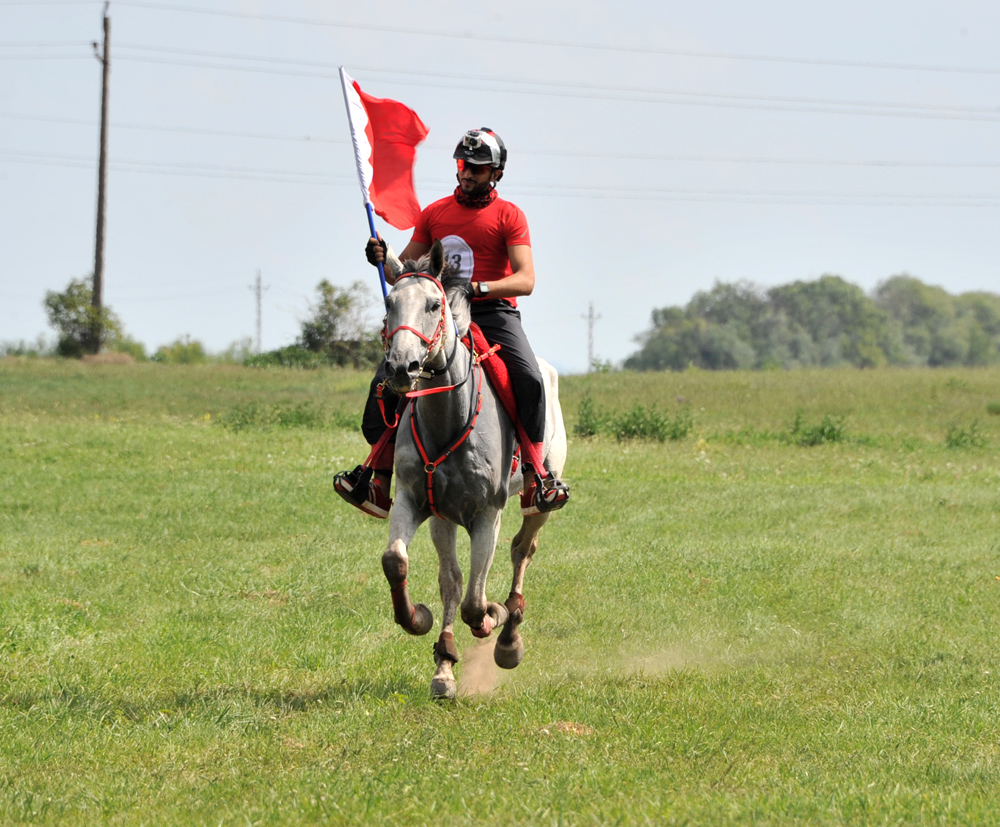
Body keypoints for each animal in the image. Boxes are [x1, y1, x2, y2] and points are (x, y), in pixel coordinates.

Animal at [376, 238, 568, 700]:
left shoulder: (487, 515)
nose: (401, 367)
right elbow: (408, 566)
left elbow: (475, 604)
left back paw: (509, 636)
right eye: (389, 303)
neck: (450, 417)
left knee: (522, 550)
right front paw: (422, 627)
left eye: (433, 304)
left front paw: (493, 618)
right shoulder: (421, 503)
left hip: (539, 503)